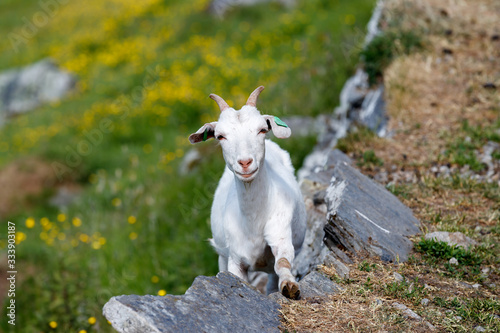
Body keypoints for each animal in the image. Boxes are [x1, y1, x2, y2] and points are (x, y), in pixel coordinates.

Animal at [188, 85, 304, 298]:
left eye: (262, 129)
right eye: (220, 136)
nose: (245, 162)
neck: (254, 221)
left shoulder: (281, 234)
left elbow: (283, 263)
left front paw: (290, 286)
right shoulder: (235, 258)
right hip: (222, 255)